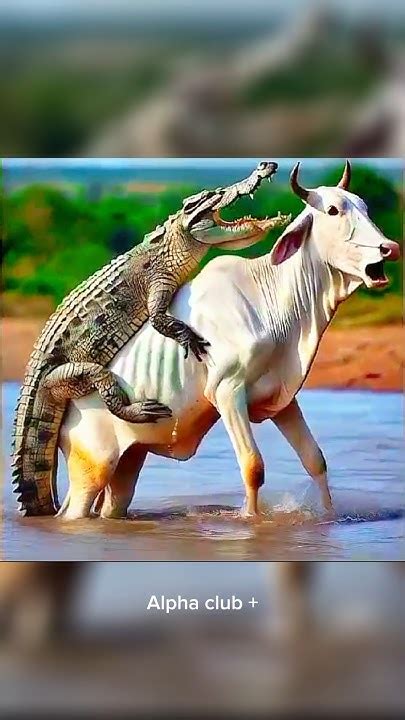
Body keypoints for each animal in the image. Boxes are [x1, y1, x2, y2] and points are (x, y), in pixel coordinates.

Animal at [58, 162, 400, 520]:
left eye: (364, 206)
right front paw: (251, 520)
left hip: (129, 461)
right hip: (93, 466)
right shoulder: (227, 390)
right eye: (333, 210)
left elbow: (315, 461)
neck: (272, 295)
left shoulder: (283, 397)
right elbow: (253, 467)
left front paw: (329, 516)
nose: (389, 248)